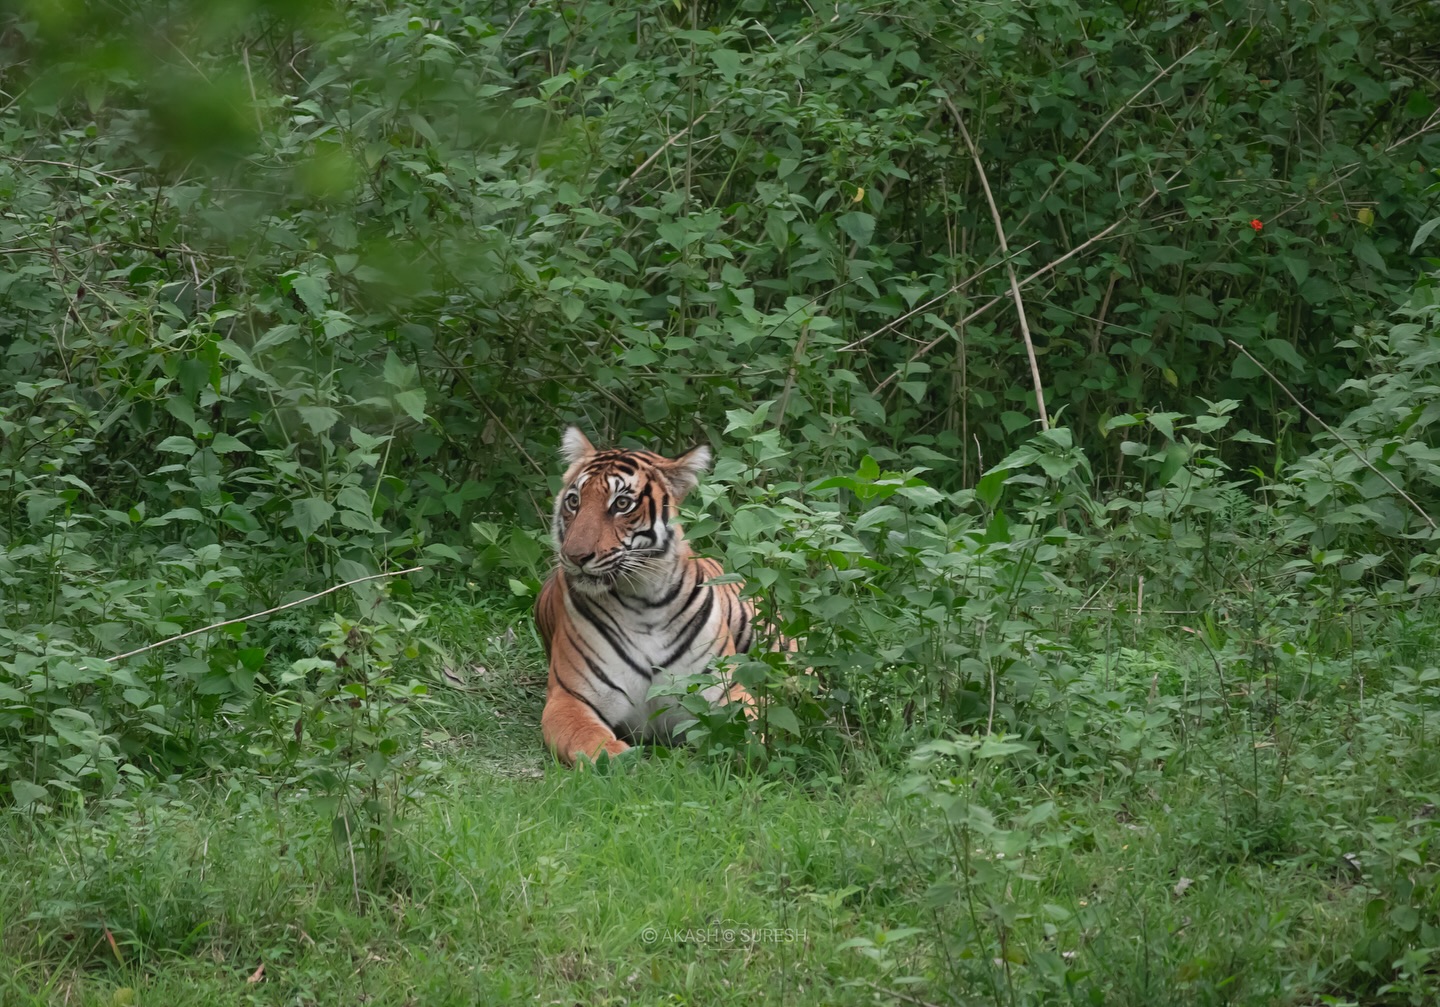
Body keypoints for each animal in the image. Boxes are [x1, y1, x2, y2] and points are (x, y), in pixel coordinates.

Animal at [533, 426, 762, 766]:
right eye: (574, 501)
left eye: (621, 504)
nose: (574, 556)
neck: (645, 601)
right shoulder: (570, 698)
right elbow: (590, 740)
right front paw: (621, 760)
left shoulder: (724, 690)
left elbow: (753, 732)